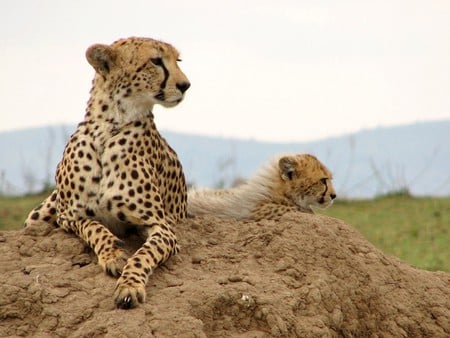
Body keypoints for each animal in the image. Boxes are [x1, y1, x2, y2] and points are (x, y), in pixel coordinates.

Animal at [25, 36, 190, 308]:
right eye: (156, 61)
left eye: (177, 60)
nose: (185, 85)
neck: (110, 124)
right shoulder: (68, 216)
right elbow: (93, 227)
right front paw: (113, 253)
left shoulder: (162, 226)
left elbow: (144, 253)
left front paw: (129, 285)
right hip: (37, 218)